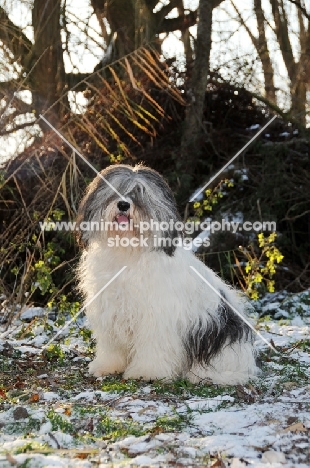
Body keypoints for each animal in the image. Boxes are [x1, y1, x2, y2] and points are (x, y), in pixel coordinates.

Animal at [77, 165, 260, 384]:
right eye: (116, 190)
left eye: (141, 191)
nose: (123, 204)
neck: (128, 251)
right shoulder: (109, 309)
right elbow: (111, 344)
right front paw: (107, 366)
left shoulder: (156, 315)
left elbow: (152, 345)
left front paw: (147, 372)